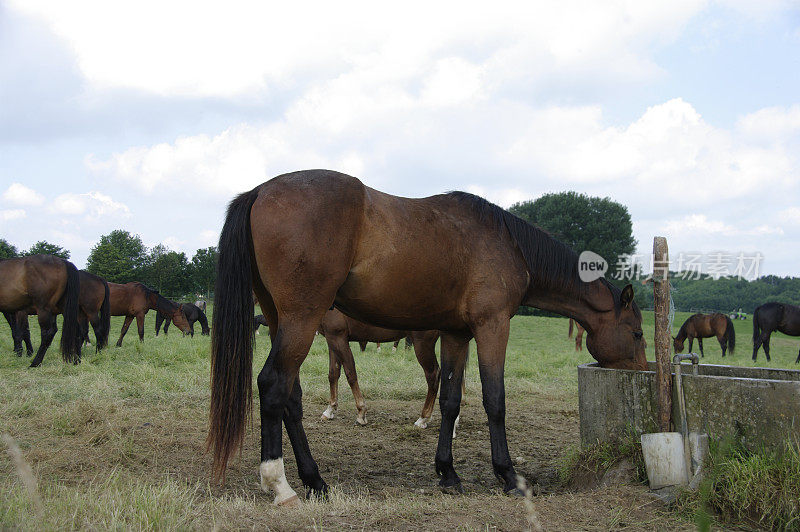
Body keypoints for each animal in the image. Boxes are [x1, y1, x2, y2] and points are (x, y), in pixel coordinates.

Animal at [209, 169, 648, 502]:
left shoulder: (456, 335)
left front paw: (447, 473)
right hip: (301, 320)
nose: (644, 371)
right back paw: (280, 485)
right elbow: (495, 400)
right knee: (273, 385)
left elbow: (451, 399)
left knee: (291, 397)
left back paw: (315, 480)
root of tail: (261, 191)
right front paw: (507, 476)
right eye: (637, 332)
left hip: (280, 320)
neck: (509, 244)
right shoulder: (492, 327)